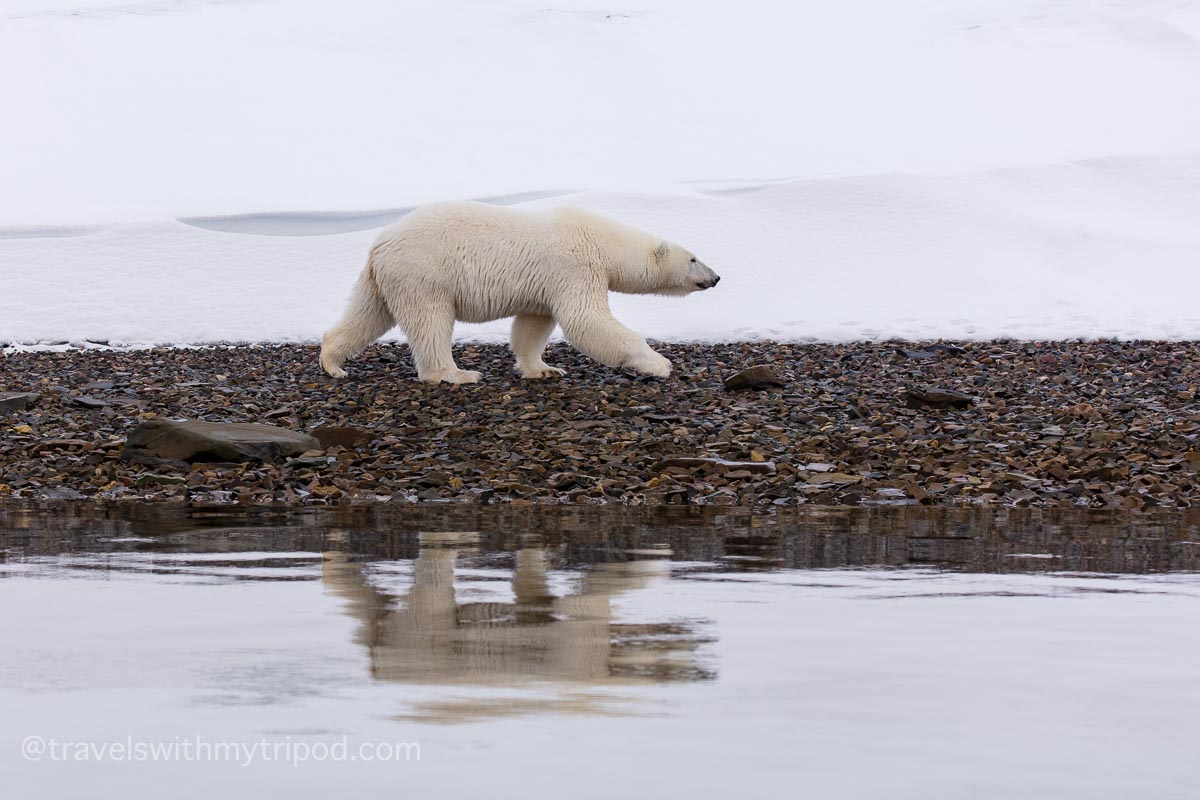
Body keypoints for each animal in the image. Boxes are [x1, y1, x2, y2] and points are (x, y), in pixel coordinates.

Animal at [314, 203, 720, 383]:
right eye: (693, 258)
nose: (716, 277)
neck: (602, 240)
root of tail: (380, 242)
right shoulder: (575, 266)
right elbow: (586, 320)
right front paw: (660, 363)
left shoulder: (545, 285)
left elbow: (533, 325)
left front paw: (543, 368)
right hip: (425, 272)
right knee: (430, 322)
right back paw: (456, 373)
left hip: (385, 277)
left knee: (368, 313)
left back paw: (333, 362)